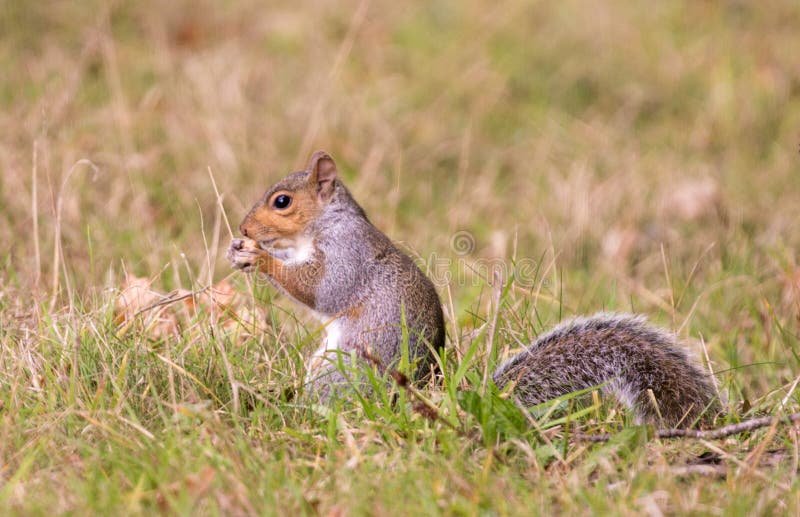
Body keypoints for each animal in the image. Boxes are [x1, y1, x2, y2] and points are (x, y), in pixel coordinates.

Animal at [227, 151, 717, 427]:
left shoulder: (348, 256)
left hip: (339, 372)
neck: (325, 224)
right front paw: (239, 250)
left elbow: (319, 289)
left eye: (282, 202)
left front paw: (259, 257)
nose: (244, 228)